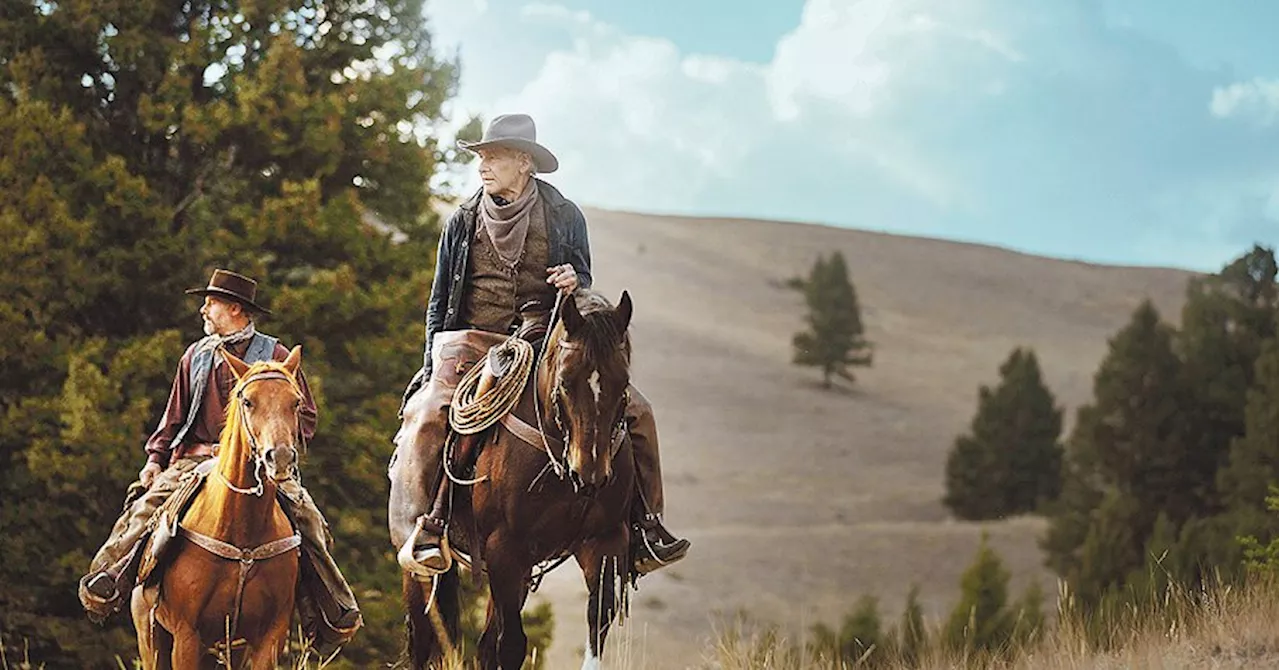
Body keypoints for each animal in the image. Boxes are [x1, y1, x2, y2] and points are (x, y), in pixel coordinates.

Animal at [132, 348, 307, 666]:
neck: (241, 533)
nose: (280, 458)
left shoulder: (270, 637)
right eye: (248, 401)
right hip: (150, 638)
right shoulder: (186, 636)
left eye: (296, 401)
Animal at [399, 290, 640, 670]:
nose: (589, 474)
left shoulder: (605, 542)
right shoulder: (505, 550)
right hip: (421, 570)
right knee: (423, 641)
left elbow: (596, 626)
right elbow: (512, 644)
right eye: (565, 382)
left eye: (623, 383)